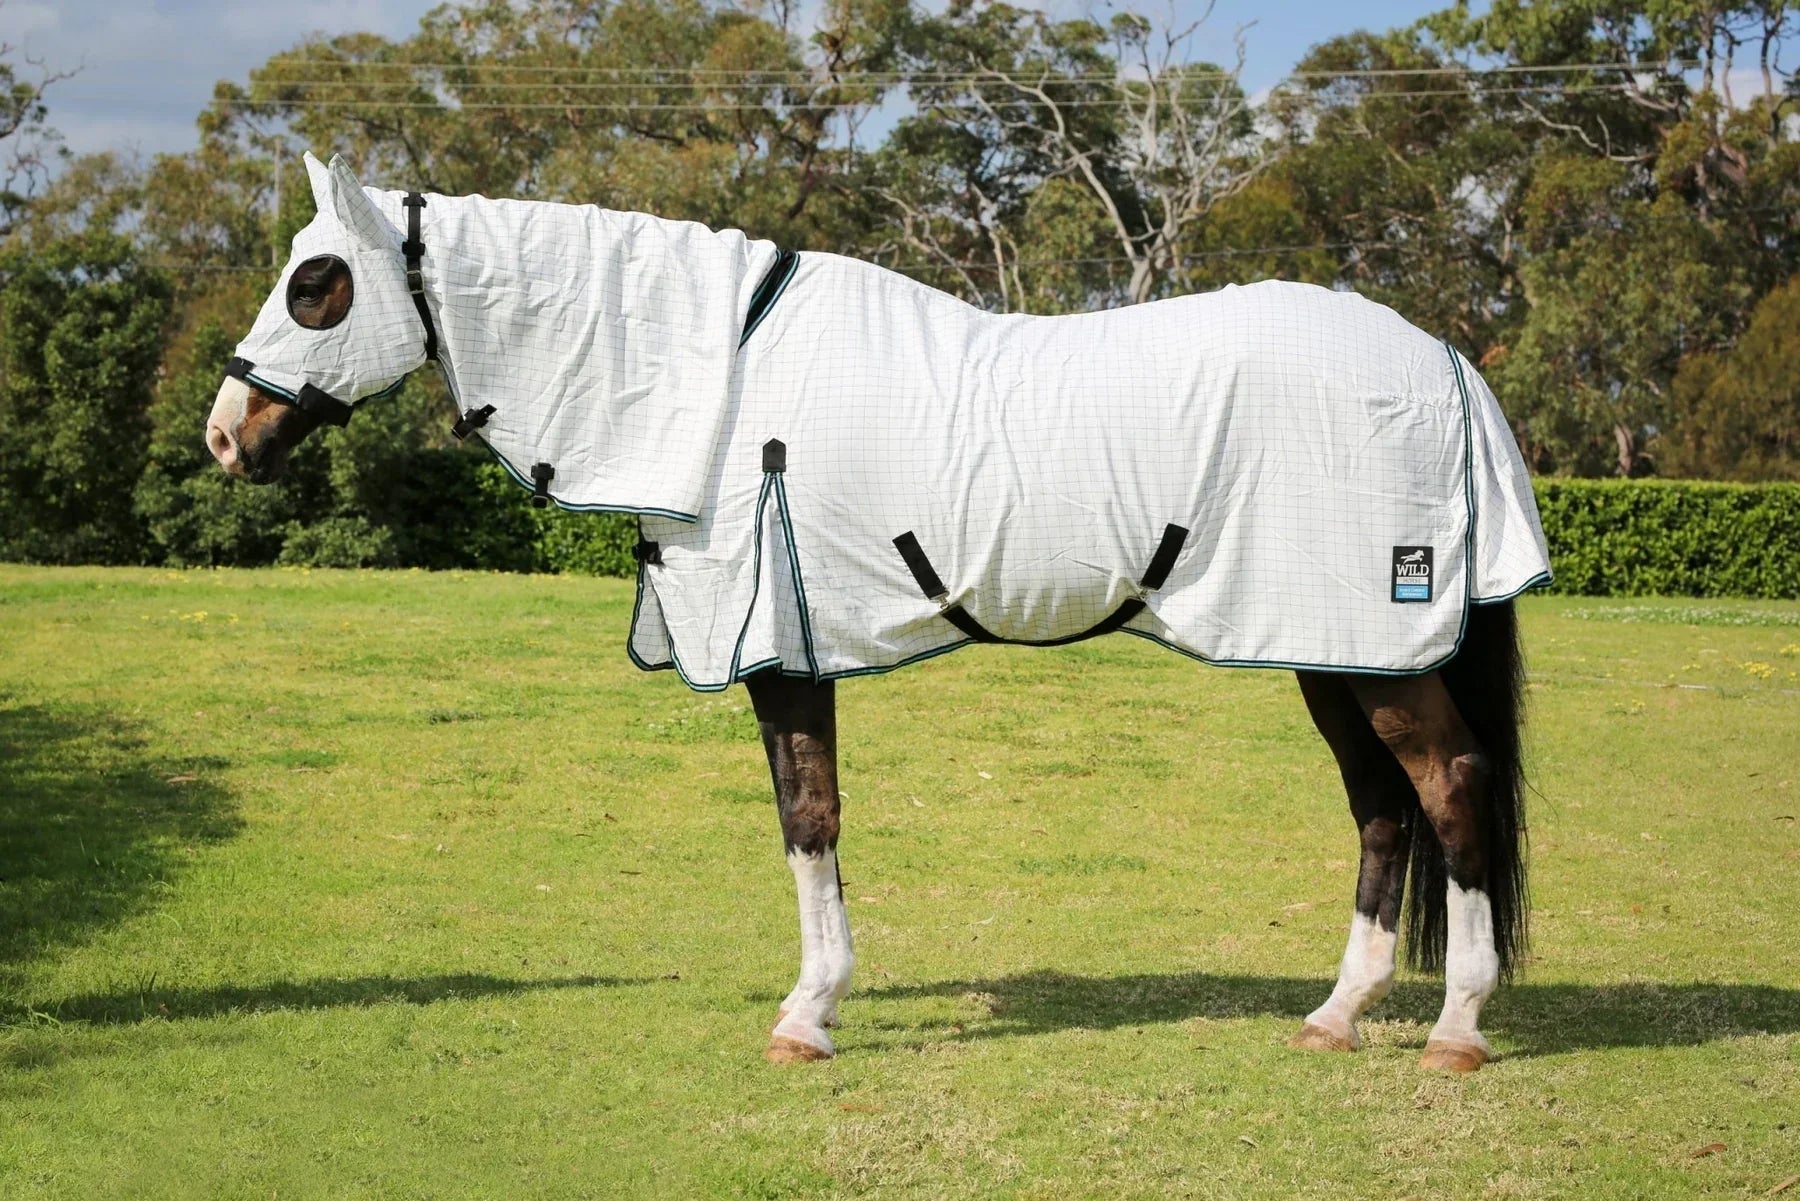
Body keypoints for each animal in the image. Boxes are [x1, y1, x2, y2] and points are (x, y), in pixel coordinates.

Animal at [207, 153, 1551, 1071]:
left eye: (319, 282)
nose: (226, 433)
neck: (717, 378)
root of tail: (1443, 360)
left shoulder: (782, 647)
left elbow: (811, 821)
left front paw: (808, 1016)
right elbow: (808, 824)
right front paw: (816, 1001)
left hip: (1375, 650)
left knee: (1448, 785)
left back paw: (1458, 1027)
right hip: (1329, 648)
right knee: (1382, 809)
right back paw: (1336, 1014)